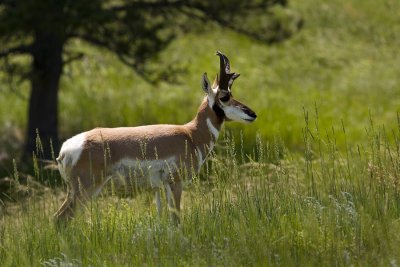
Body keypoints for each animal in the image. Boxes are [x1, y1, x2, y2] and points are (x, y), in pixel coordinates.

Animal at [54, 51, 256, 224]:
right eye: (224, 97)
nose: (253, 114)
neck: (190, 135)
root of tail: (65, 150)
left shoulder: (159, 189)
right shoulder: (176, 184)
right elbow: (176, 220)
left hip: (76, 191)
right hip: (86, 189)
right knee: (60, 218)